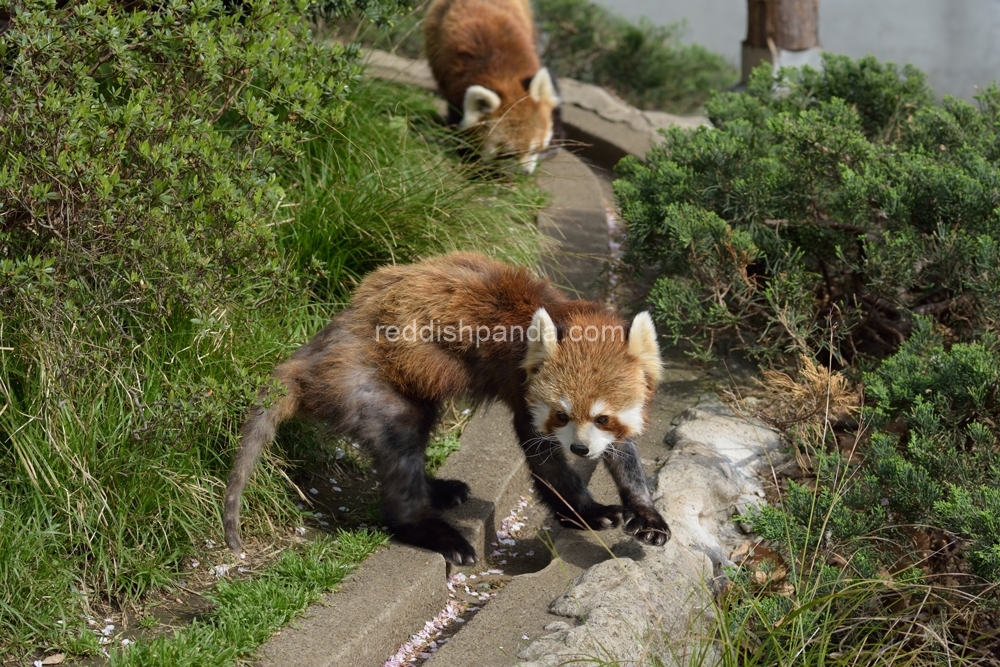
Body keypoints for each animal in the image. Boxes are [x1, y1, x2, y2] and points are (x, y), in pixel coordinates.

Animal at [223, 253, 668, 568]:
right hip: (367, 380)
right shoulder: (522, 390)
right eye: (562, 414)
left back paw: (440, 490)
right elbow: (546, 464)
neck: (567, 314)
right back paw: (435, 531)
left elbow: (624, 455)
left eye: (602, 418)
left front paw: (645, 514)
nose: (580, 450)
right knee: (402, 443)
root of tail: (315, 352)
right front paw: (587, 511)